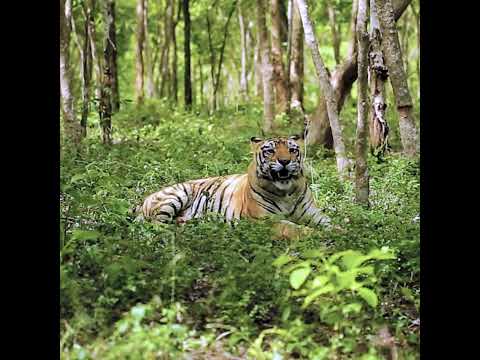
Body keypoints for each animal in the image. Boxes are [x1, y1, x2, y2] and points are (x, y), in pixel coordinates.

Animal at [134, 135, 330, 228]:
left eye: (292, 150)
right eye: (270, 151)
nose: (284, 161)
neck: (287, 192)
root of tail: (143, 200)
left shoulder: (314, 214)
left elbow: (331, 224)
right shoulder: (267, 220)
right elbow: (296, 230)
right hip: (177, 194)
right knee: (157, 225)